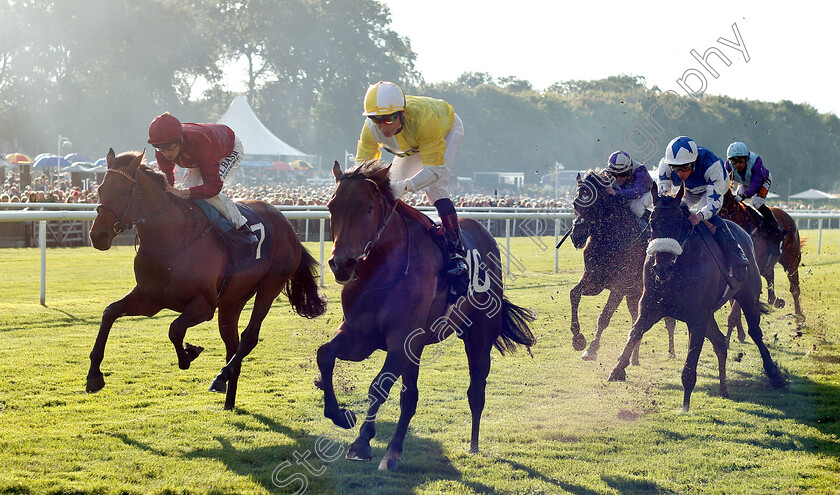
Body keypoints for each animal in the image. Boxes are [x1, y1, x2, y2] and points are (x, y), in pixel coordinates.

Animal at [88, 150, 324, 410]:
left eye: (122, 191)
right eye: (100, 188)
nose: (97, 235)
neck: (171, 241)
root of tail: (289, 226)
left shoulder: (204, 305)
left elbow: (174, 329)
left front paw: (190, 353)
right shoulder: (150, 300)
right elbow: (110, 312)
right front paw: (94, 376)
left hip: (270, 286)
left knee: (249, 338)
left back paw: (221, 377)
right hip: (233, 300)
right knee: (232, 344)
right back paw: (228, 400)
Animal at [318, 162, 536, 472]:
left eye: (369, 208)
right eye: (331, 206)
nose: (342, 264)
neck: (383, 267)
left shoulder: (402, 341)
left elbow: (379, 386)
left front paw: (361, 443)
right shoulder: (360, 336)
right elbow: (325, 354)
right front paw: (339, 415)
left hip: (479, 337)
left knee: (475, 390)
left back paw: (471, 445)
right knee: (410, 397)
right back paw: (394, 451)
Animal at [568, 170, 680, 364]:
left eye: (593, 205)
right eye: (575, 203)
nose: (577, 237)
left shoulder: (620, 286)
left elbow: (604, 317)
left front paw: (591, 349)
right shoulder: (594, 280)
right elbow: (574, 294)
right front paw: (578, 338)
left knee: (669, 320)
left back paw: (671, 352)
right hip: (634, 294)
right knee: (636, 318)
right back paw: (634, 358)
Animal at [608, 184, 784, 412]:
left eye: (678, 223)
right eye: (652, 223)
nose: (662, 267)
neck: (678, 271)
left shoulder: (697, 317)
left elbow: (691, 360)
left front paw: (685, 404)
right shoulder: (650, 307)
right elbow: (634, 332)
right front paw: (617, 370)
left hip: (747, 297)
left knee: (755, 332)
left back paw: (773, 373)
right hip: (709, 315)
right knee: (720, 341)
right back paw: (723, 389)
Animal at [716, 190, 808, 340]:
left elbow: (735, 309)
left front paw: (727, 339)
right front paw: (739, 333)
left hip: (791, 261)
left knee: (795, 289)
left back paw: (799, 318)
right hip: (767, 265)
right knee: (770, 277)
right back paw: (776, 301)